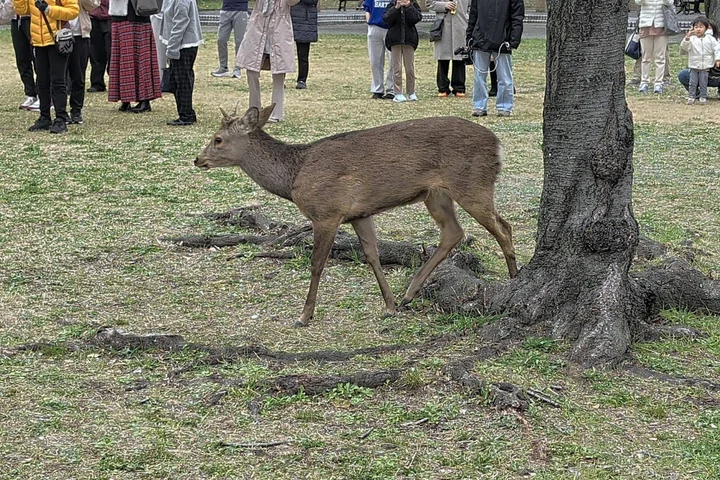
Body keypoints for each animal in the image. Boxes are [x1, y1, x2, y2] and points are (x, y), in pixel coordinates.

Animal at [195, 104, 518, 327]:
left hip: (472, 183)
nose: (198, 159)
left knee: (503, 227)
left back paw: (514, 278)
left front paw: (304, 315)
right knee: (454, 232)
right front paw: (389, 305)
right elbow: (372, 255)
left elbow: (317, 264)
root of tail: (497, 144)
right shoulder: (360, 213)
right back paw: (409, 293)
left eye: (218, 139)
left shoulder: (327, 212)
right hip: (436, 194)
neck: (294, 177)